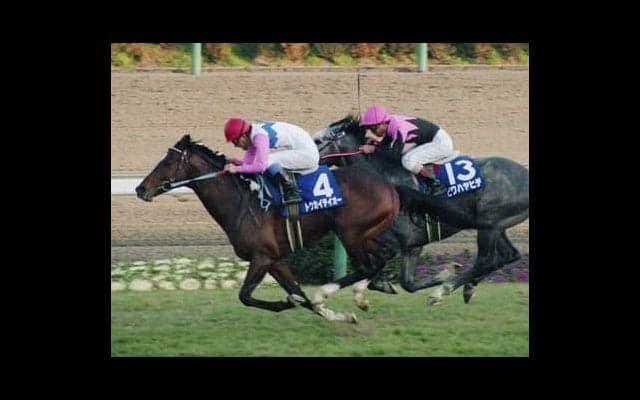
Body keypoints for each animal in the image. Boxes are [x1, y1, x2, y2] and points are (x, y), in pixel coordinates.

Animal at [312, 115, 529, 304]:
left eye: (317, 140)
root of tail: (526, 174)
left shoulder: (398, 242)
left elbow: (374, 268)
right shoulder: (412, 246)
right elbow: (406, 283)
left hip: (489, 224)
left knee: (486, 260)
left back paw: (443, 290)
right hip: (497, 226)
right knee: (508, 255)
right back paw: (468, 287)